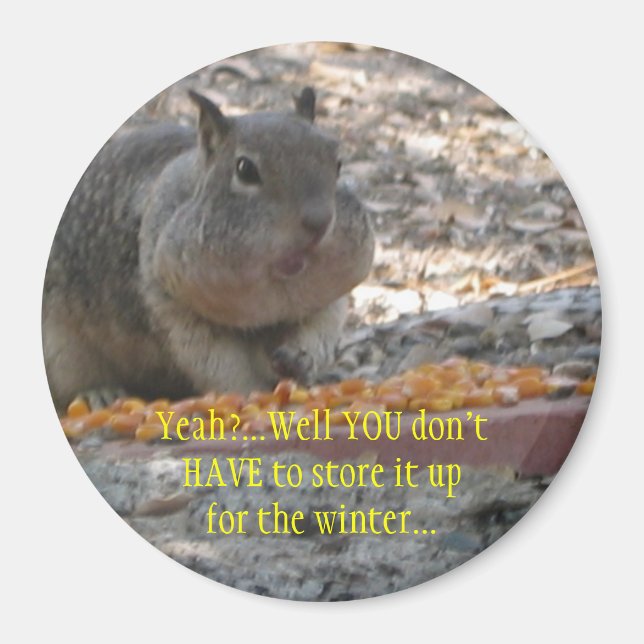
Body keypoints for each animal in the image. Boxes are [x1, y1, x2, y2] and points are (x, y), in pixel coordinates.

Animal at [42, 88, 375, 411]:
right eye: (245, 169)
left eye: (338, 163)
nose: (320, 221)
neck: (278, 288)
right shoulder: (172, 309)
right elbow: (219, 364)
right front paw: (251, 394)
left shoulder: (327, 303)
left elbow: (317, 333)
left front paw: (301, 359)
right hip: (61, 349)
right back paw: (100, 392)